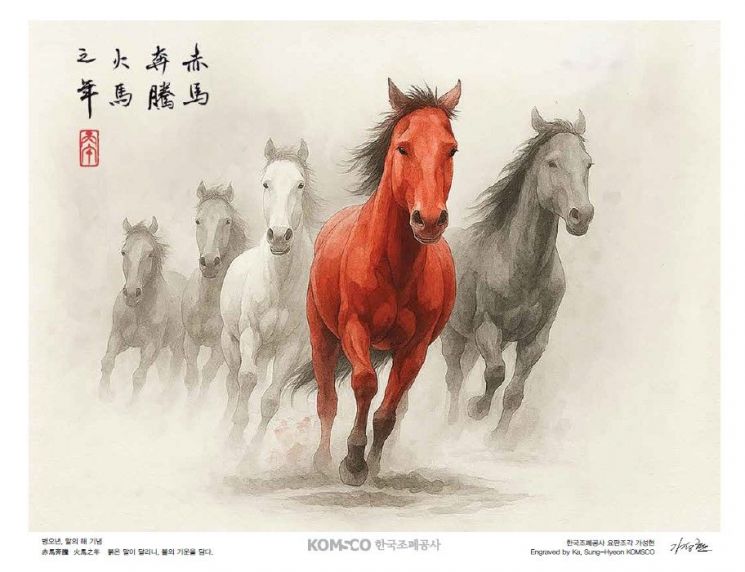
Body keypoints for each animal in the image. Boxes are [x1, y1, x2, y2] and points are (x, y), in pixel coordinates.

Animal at [99, 217, 187, 403]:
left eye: (150, 253)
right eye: (124, 252)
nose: (132, 293)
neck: (138, 310)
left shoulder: (151, 346)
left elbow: (139, 376)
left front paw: (132, 406)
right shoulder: (118, 337)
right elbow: (107, 362)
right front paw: (104, 394)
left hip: (177, 344)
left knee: (175, 368)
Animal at [181, 182, 250, 402]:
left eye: (227, 221)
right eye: (198, 220)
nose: (210, 263)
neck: (208, 302)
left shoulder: (220, 349)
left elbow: (207, 374)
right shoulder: (190, 340)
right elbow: (192, 377)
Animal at [220, 139, 321, 458]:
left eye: (300, 185)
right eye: (266, 183)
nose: (278, 235)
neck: (279, 283)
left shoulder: (290, 347)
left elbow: (270, 399)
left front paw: (250, 453)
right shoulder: (250, 333)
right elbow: (246, 380)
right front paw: (234, 437)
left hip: (269, 352)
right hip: (231, 343)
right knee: (233, 382)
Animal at [291, 78, 462, 486]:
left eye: (451, 149)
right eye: (403, 147)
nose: (428, 220)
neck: (394, 268)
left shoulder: (415, 349)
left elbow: (387, 413)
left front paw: (372, 463)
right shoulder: (354, 328)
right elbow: (365, 383)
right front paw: (352, 462)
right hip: (322, 336)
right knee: (327, 401)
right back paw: (322, 461)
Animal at [441, 108, 594, 443]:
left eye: (588, 163)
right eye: (552, 162)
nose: (582, 215)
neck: (524, 270)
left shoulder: (535, 340)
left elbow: (514, 393)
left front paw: (498, 440)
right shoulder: (488, 329)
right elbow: (496, 372)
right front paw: (477, 409)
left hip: (471, 343)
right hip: (454, 336)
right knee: (454, 378)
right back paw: (451, 420)